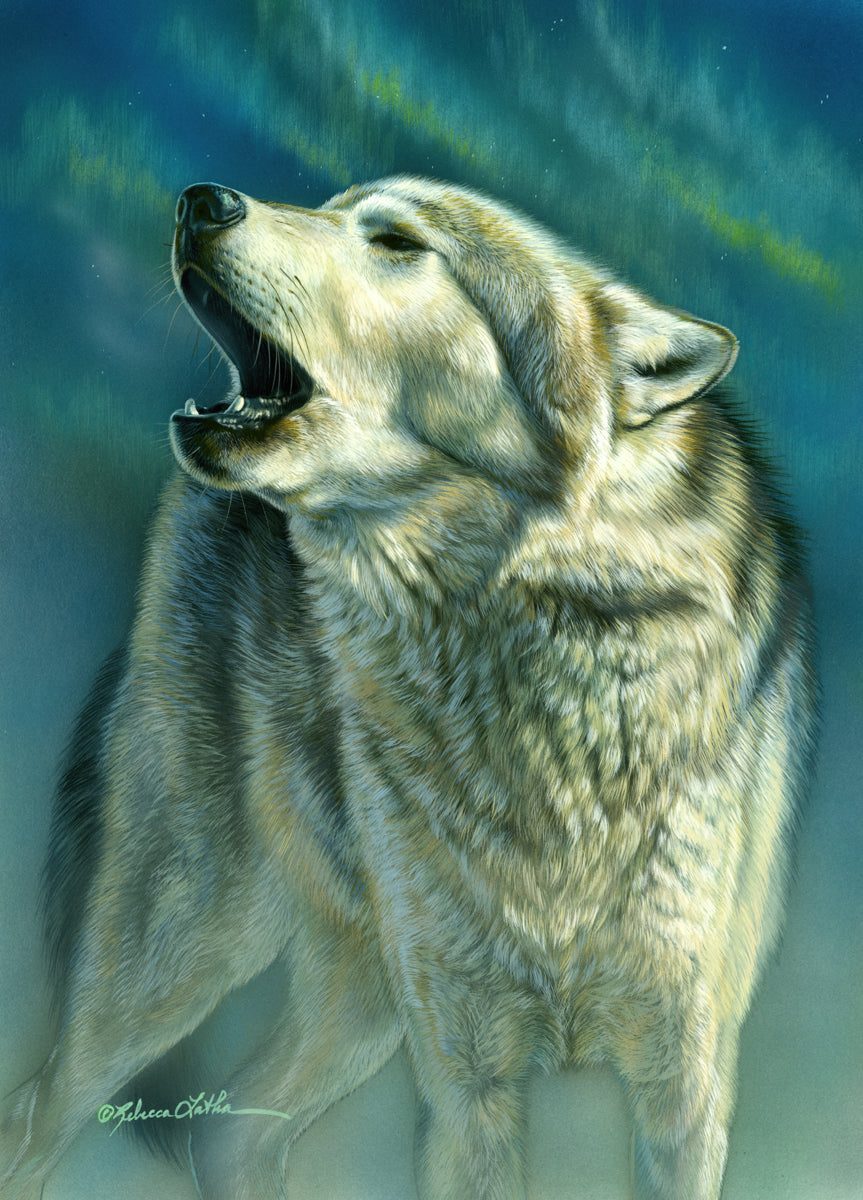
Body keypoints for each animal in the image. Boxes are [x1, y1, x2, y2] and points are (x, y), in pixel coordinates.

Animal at [1, 177, 815, 1199]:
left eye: (396, 241)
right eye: (332, 206)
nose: (201, 198)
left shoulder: (683, 1089)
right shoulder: (466, 1081)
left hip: (355, 991)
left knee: (227, 1130)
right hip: (189, 942)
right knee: (43, 1110)